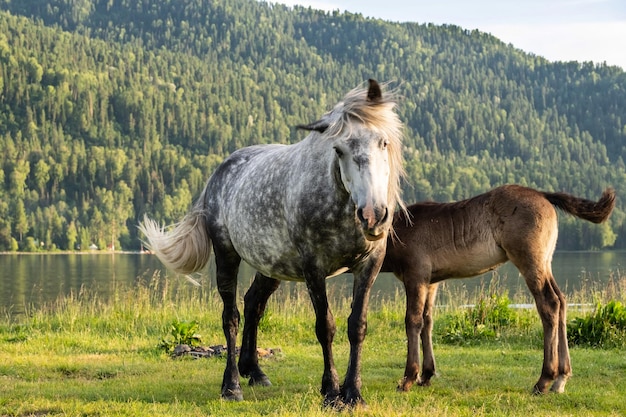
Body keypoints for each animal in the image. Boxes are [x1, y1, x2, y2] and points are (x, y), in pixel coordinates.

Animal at [138, 79, 402, 406]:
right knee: (231, 316)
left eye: (383, 142)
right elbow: (325, 327)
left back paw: (254, 370)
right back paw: (231, 385)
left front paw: (353, 393)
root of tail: (217, 175)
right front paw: (331, 392)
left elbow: (357, 326)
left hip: (271, 266)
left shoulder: (369, 265)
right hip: (227, 256)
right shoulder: (314, 268)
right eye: (338, 150)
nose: (373, 215)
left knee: (254, 304)